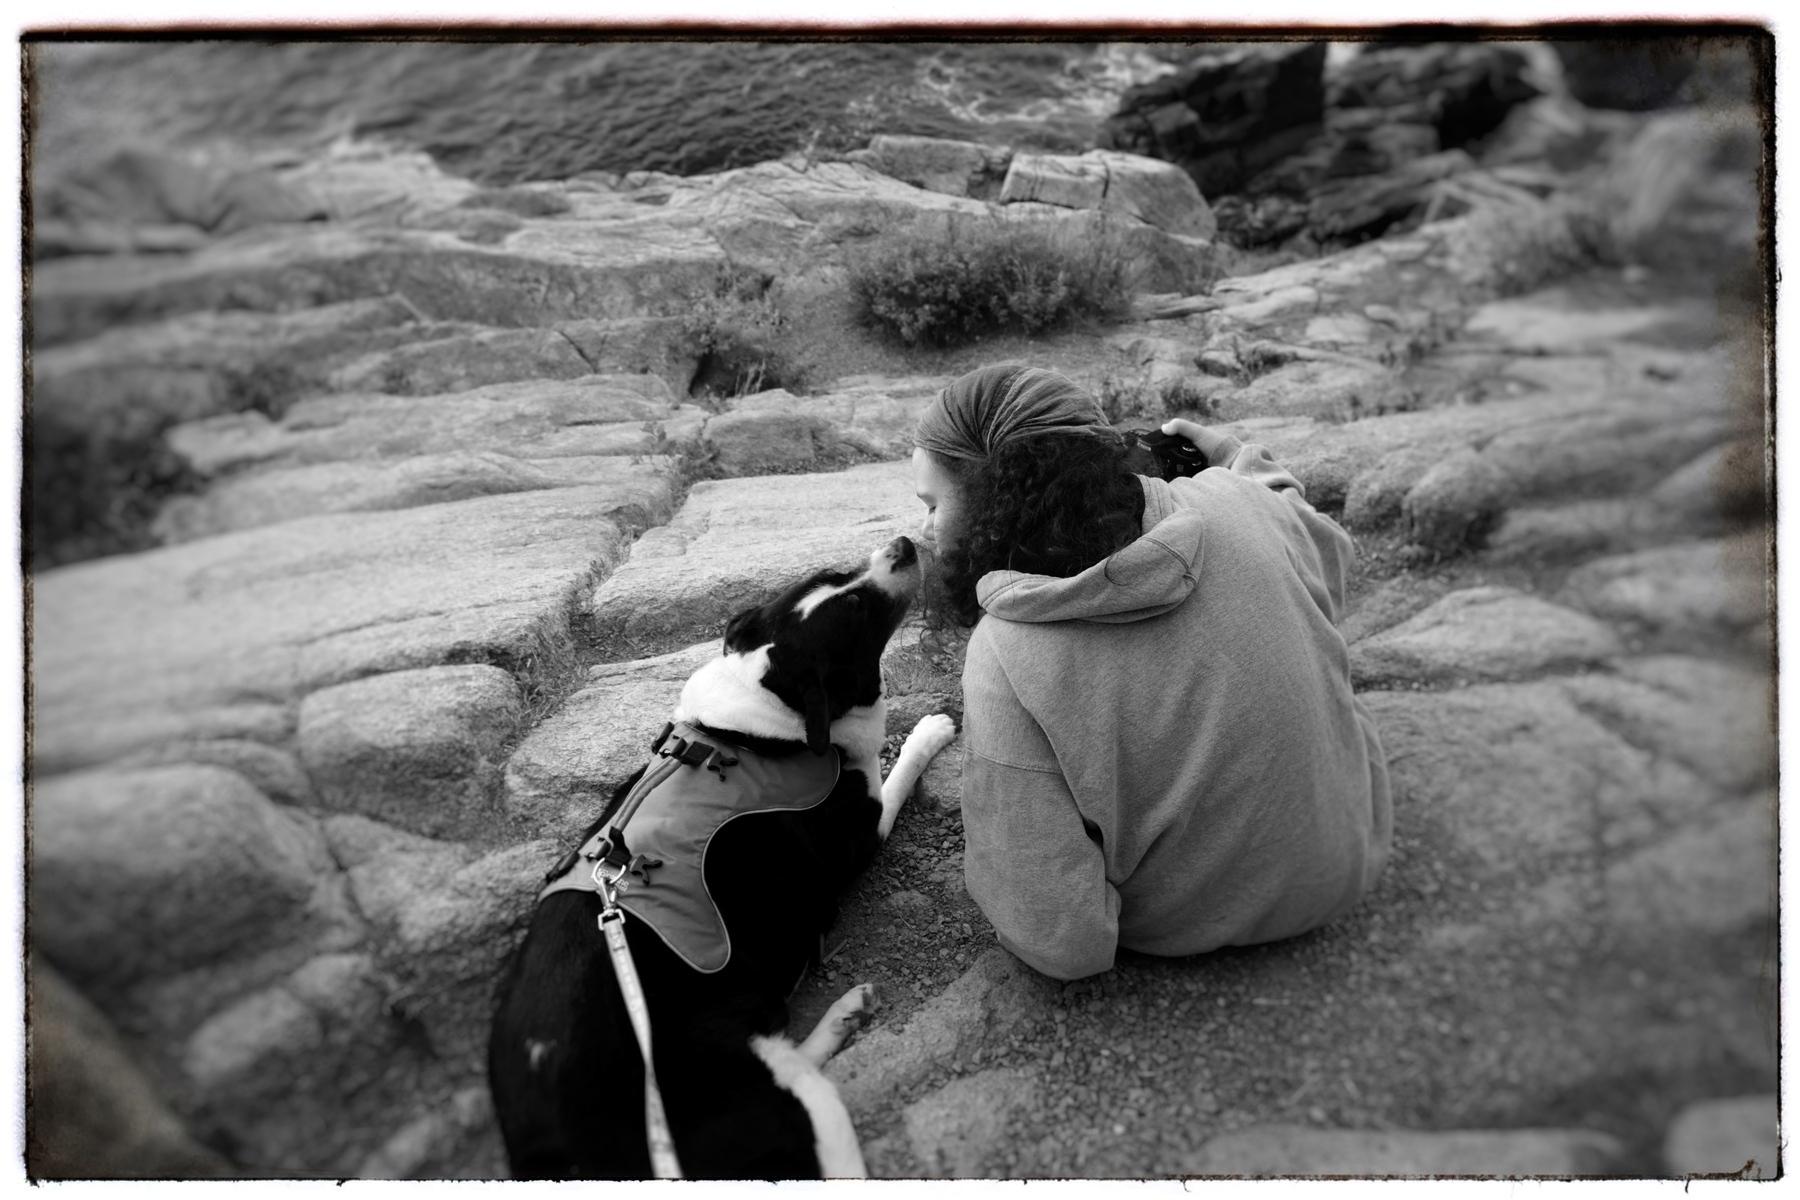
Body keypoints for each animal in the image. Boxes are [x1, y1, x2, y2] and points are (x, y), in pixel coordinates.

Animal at [478, 539, 957, 1180]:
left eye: (832, 573)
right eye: (856, 608)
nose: (902, 545)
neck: (756, 720)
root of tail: (563, 1153)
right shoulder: (859, 832)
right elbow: (900, 766)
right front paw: (930, 730)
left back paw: (843, 1016)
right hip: (773, 1098)